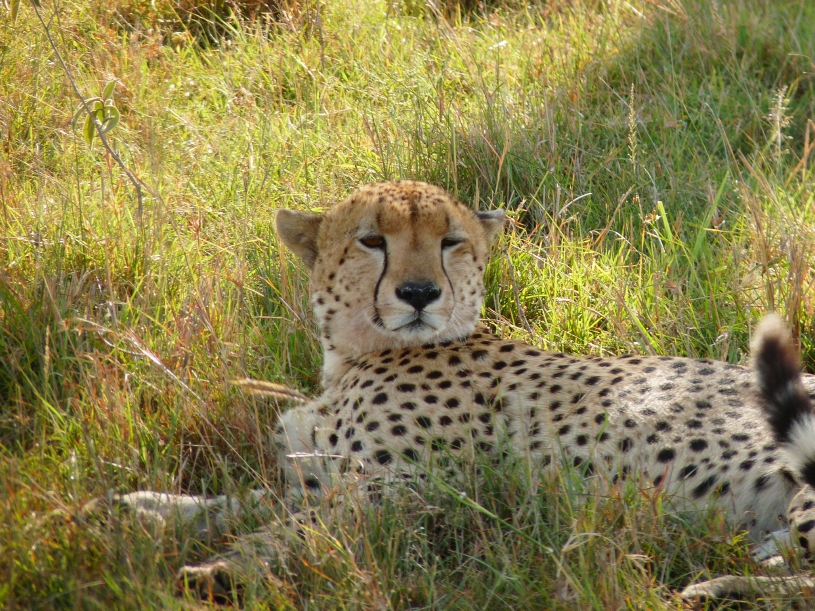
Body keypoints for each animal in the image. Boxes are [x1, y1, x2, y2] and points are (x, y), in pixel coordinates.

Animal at [98, 181, 815, 602]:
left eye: (451, 241)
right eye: (371, 240)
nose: (418, 293)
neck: (353, 356)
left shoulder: (408, 488)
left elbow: (290, 529)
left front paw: (220, 571)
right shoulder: (318, 477)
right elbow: (233, 503)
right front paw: (138, 507)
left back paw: (718, 587)